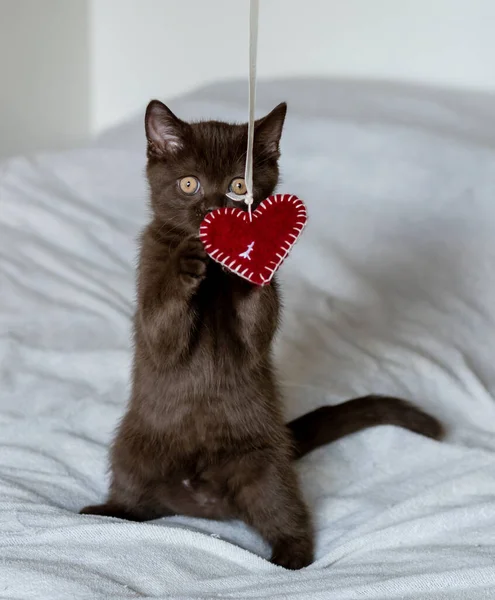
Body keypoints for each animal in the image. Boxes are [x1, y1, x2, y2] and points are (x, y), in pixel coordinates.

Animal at [79, 101, 444, 568]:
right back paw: (104, 512)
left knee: (286, 514)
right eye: (189, 183)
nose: (214, 209)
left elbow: (256, 326)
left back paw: (288, 559)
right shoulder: (150, 289)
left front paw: (249, 258)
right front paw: (187, 261)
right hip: (132, 449)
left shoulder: (254, 334)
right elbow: (163, 329)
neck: (212, 274)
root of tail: (202, 502)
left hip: (266, 469)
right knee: (136, 498)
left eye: (239, 185)